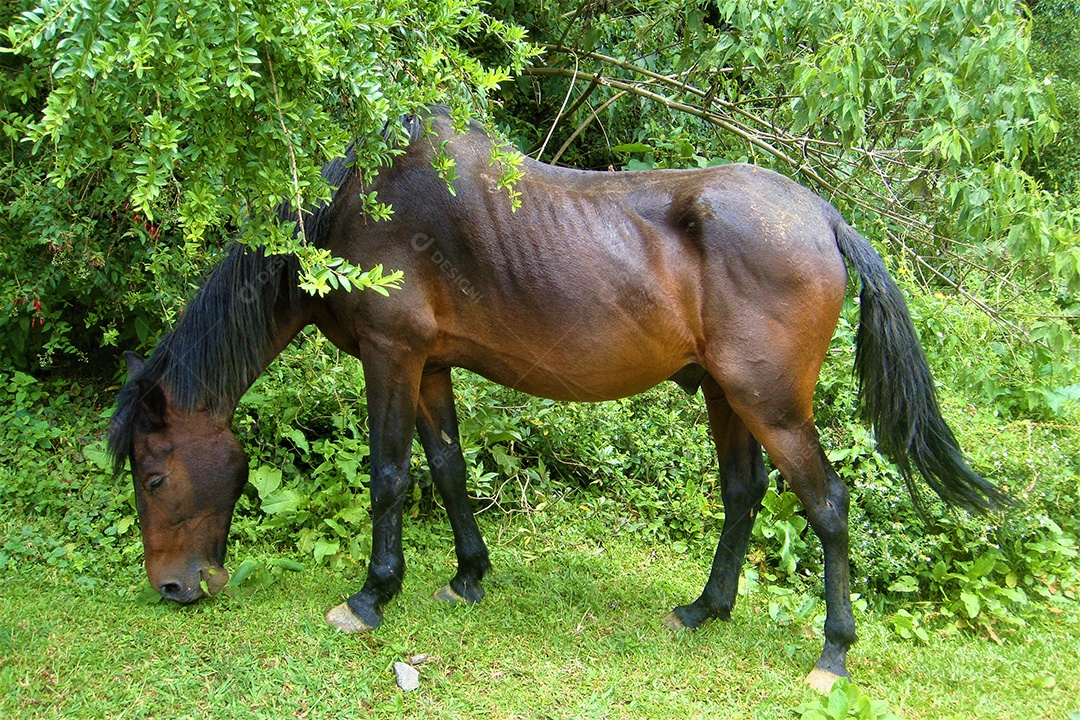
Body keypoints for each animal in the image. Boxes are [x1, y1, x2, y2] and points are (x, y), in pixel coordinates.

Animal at [108, 106, 1012, 692]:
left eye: (152, 477)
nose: (174, 589)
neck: (357, 208)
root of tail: (823, 215)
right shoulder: (428, 367)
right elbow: (448, 469)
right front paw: (466, 577)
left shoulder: (391, 358)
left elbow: (391, 477)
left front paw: (370, 597)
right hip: (728, 396)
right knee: (743, 493)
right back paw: (704, 610)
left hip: (772, 402)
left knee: (827, 503)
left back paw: (832, 656)